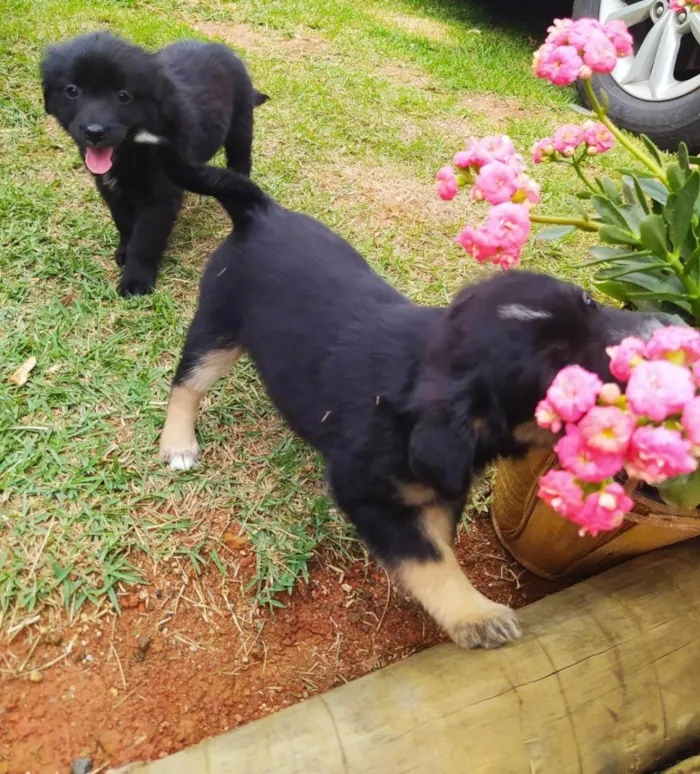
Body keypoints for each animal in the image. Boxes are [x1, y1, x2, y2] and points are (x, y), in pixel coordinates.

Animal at [41, 32, 270, 298]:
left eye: (123, 96)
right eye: (72, 91)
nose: (94, 133)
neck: (131, 149)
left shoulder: (160, 196)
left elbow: (145, 241)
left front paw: (136, 281)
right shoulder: (110, 188)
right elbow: (124, 223)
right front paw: (124, 251)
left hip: (240, 128)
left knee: (241, 162)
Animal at [153, 150, 668, 648]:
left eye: (591, 303)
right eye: (565, 377)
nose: (666, 329)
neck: (420, 376)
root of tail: (259, 211)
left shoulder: (441, 487)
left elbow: (437, 540)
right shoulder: (365, 489)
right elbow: (428, 559)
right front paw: (475, 615)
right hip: (218, 326)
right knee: (188, 381)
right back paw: (177, 444)